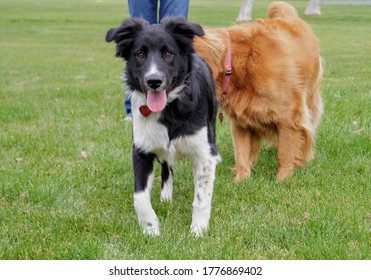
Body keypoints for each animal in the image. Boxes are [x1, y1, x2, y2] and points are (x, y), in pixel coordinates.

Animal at [106, 17, 219, 236]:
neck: (169, 108)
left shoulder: (203, 153)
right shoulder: (141, 149)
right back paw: (166, 196)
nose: (154, 81)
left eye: (168, 54)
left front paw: (198, 230)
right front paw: (150, 228)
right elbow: (139, 197)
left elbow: (202, 197)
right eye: (140, 55)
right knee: (167, 168)